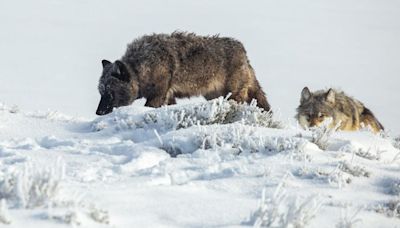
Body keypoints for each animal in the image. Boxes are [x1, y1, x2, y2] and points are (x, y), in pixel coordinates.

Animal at [96, 31, 272, 115]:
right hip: (215, 96)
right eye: (101, 92)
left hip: (233, 96)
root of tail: (244, 53)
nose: (98, 113)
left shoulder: (157, 95)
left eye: (110, 93)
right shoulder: (168, 96)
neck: (140, 68)